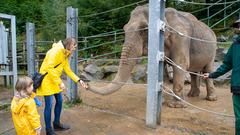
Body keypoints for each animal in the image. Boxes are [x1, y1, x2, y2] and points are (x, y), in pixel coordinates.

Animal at [86, 4, 218, 107]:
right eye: (124, 29)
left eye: (144, 30)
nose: (86, 84)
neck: (163, 14)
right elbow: (161, 66)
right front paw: (161, 102)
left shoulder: (181, 38)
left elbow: (180, 64)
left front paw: (175, 106)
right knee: (193, 72)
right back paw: (192, 95)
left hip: (213, 48)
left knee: (208, 69)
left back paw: (210, 99)